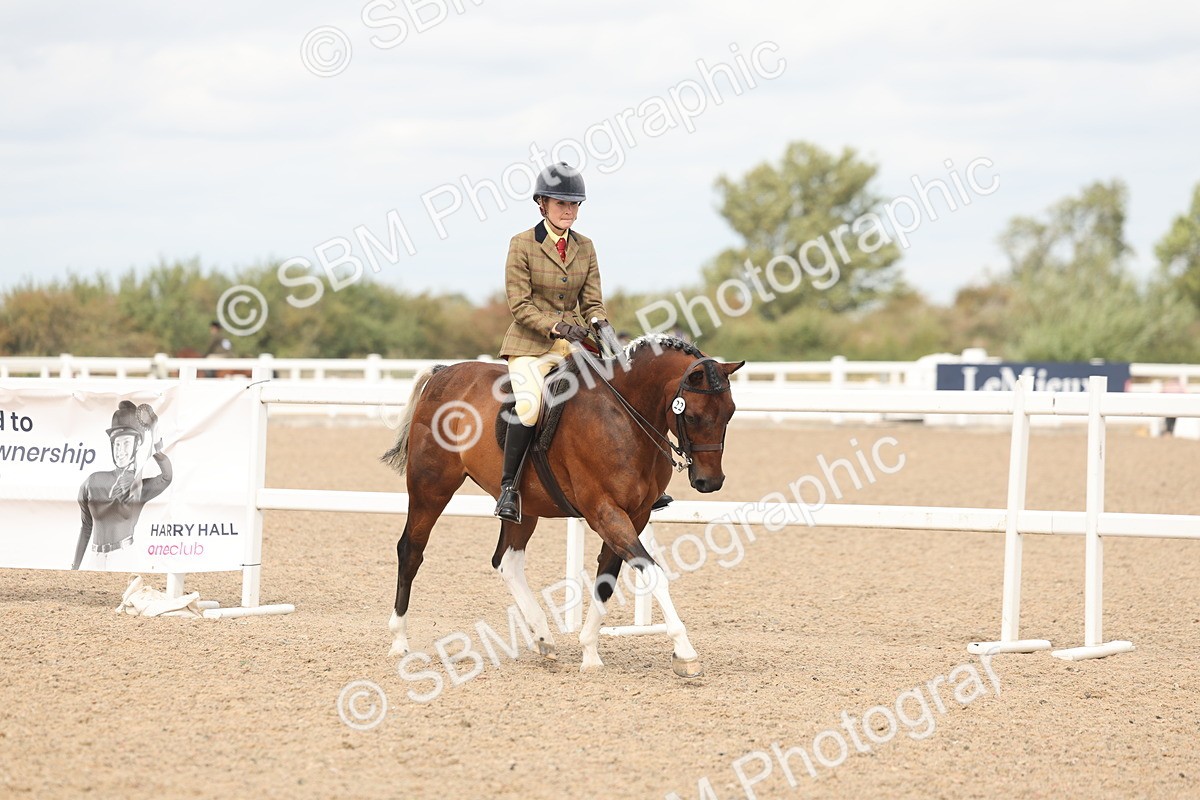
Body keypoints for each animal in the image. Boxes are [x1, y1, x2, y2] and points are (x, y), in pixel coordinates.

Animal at [381, 334, 744, 677]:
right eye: (693, 416)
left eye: (730, 413)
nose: (711, 482)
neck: (624, 415)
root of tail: (443, 373)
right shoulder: (605, 512)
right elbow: (653, 573)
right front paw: (685, 654)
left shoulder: (636, 515)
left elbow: (606, 579)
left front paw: (590, 652)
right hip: (431, 487)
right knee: (410, 550)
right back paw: (399, 641)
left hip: (524, 507)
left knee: (507, 561)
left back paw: (543, 637)